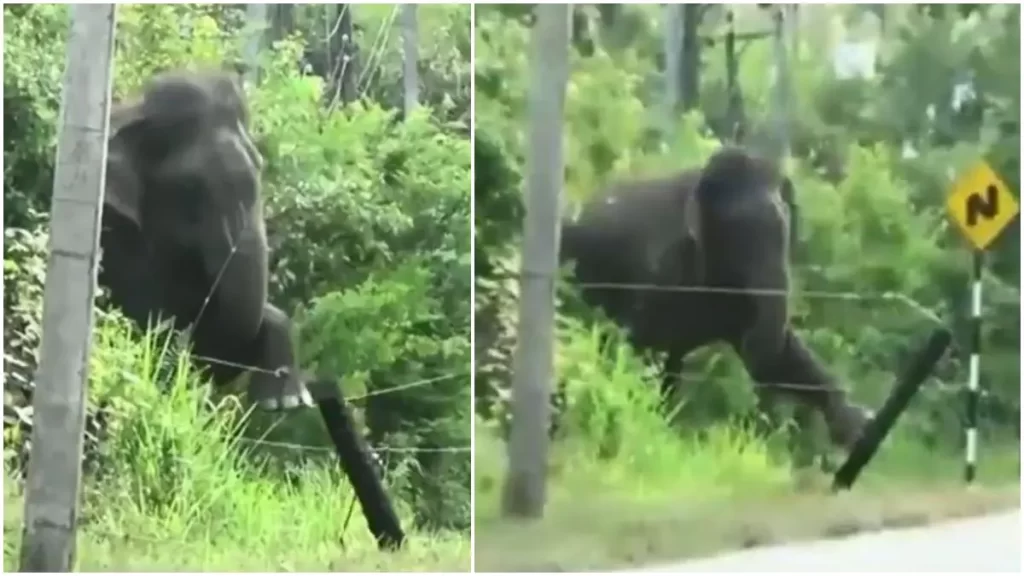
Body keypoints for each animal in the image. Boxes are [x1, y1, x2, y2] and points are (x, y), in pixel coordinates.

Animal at [561, 144, 872, 448]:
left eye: (784, 230)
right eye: (740, 233)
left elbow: (780, 361)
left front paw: (855, 426)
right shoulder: (659, 271)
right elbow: (638, 347)